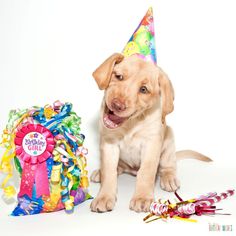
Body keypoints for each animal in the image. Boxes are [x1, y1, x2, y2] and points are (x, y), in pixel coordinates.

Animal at [90, 54, 210, 213]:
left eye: (143, 89)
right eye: (119, 76)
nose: (117, 105)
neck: (131, 123)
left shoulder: (151, 144)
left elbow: (146, 172)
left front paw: (142, 197)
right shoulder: (109, 143)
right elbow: (109, 171)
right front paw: (104, 197)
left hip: (169, 141)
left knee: (168, 166)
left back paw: (169, 178)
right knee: (116, 168)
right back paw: (100, 172)